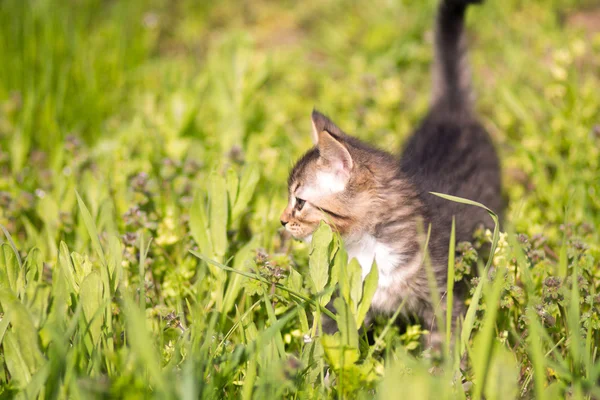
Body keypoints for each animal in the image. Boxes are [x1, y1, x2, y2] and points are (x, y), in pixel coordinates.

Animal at [280, 0, 502, 340]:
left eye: (300, 202)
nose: (281, 221)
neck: (367, 247)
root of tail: (451, 111)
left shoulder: (442, 299)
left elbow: (445, 344)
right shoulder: (348, 303)